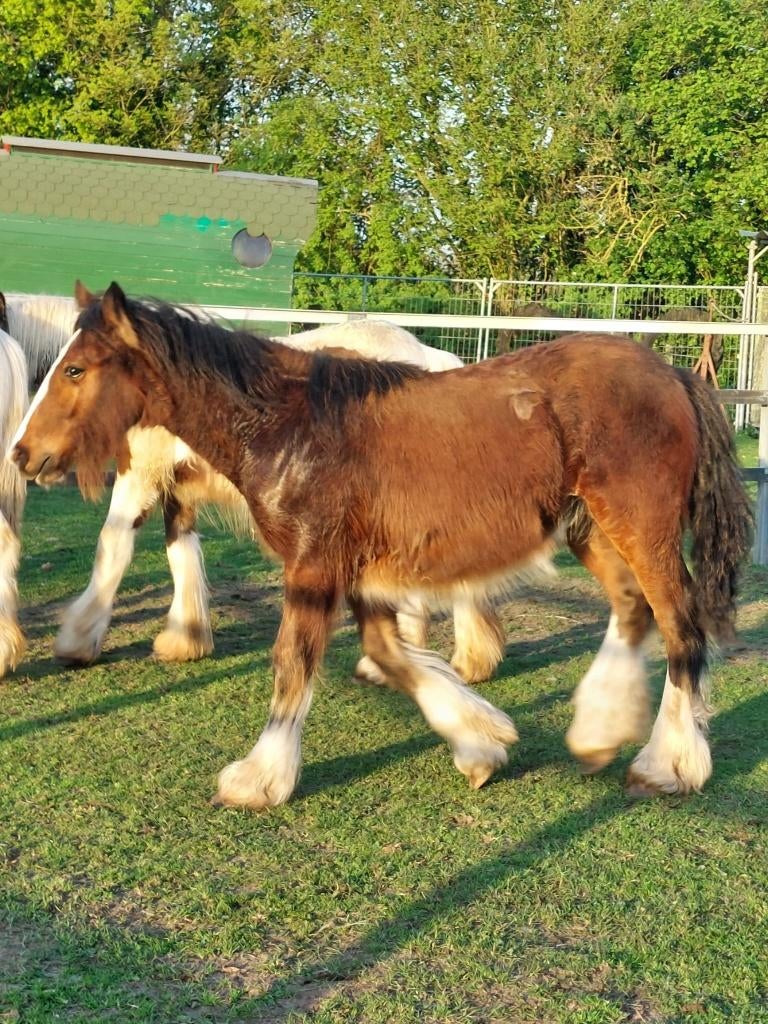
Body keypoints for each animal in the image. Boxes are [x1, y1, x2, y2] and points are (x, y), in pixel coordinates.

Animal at [4, 293, 505, 684]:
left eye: (73, 371)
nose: (20, 453)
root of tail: (435, 359)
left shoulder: (139, 475)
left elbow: (112, 545)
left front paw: (76, 642)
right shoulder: (178, 487)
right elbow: (181, 549)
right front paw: (185, 639)